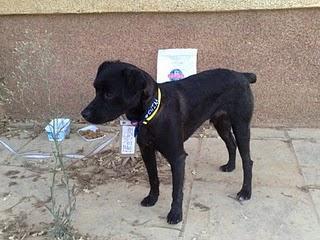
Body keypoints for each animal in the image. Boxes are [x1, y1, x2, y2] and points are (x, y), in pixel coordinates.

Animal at [81, 60, 256, 225]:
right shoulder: (146, 151)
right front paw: (152, 199)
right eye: (96, 90)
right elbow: (153, 178)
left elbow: (176, 190)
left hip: (241, 125)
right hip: (221, 123)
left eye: (109, 94)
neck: (152, 112)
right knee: (231, 144)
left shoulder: (177, 157)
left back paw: (245, 192)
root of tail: (242, 75)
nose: (84, 114)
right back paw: (230, 166)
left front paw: (175, 214)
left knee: (247, 160)